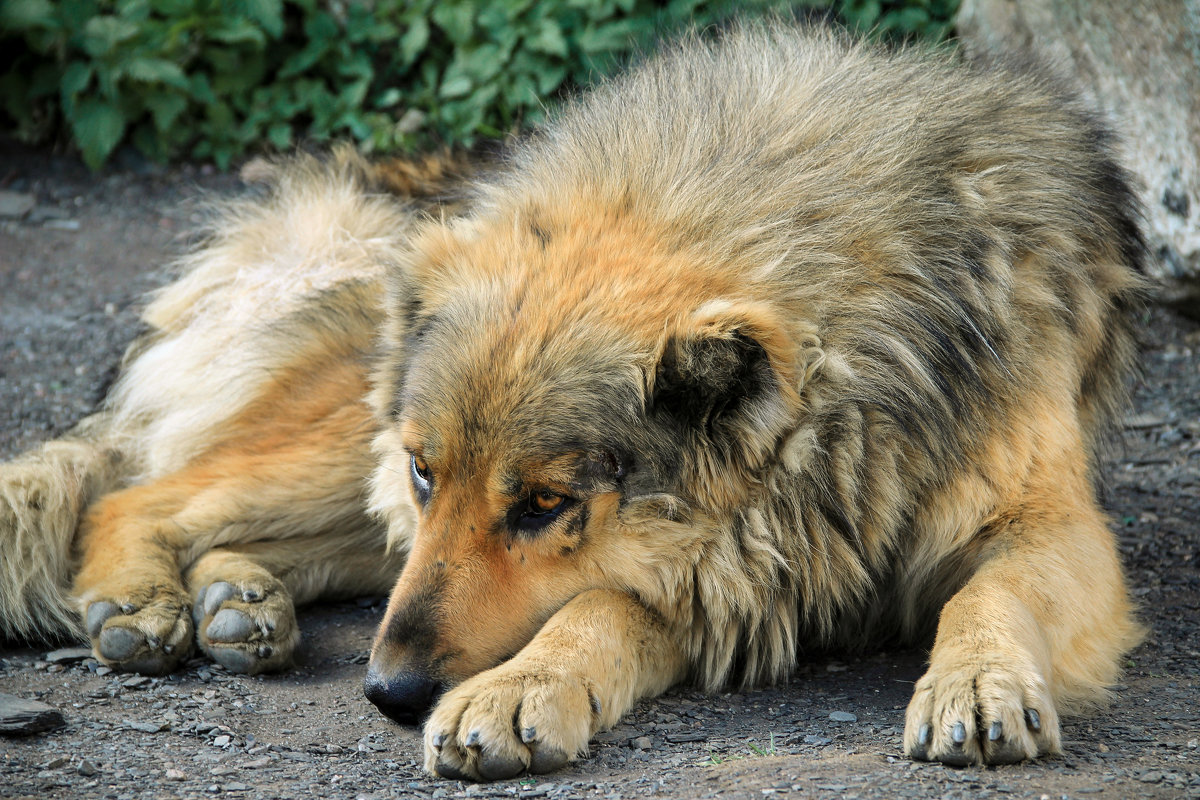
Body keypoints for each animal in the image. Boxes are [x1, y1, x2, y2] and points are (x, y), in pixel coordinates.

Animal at [0, 21, 1142, 777]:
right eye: (428, 473)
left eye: (544, 505)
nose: (388, 694)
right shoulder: (728, 567)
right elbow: (596, 604)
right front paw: (519, 690)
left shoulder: (1041, 526)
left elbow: (984, 593)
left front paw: (979, 682)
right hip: (338, 467)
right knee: (140, 493)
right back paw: (147, 601)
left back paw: (238, 600)